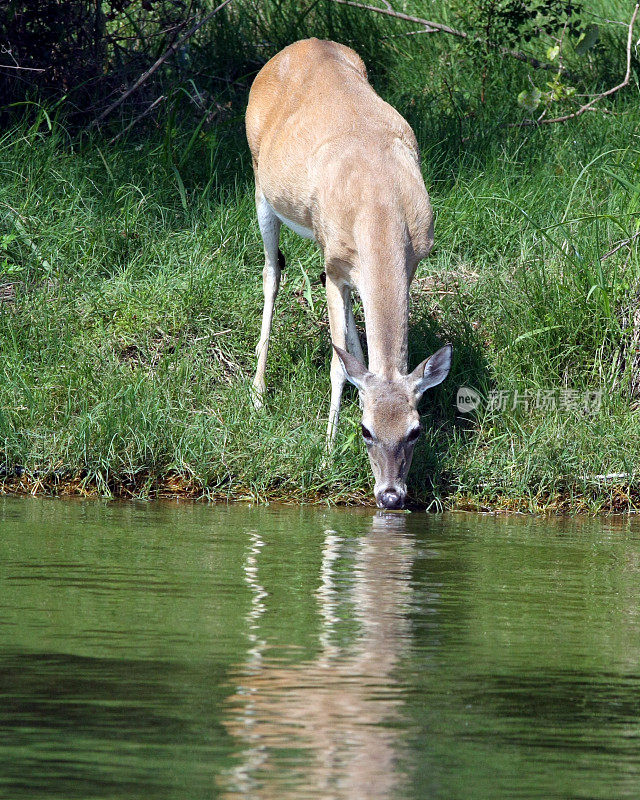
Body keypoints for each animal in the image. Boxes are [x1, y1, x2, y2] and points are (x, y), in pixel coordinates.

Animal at [245, 37, 450, 510]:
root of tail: (298, 45)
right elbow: (338, 366)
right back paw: (258, 394)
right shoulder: (335, 264)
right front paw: (325, 453)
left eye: (415, 430)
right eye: (366, 430)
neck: (378, 205)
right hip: (261, 184)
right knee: (271, 270)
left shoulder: (409, 262)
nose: (391, 496)